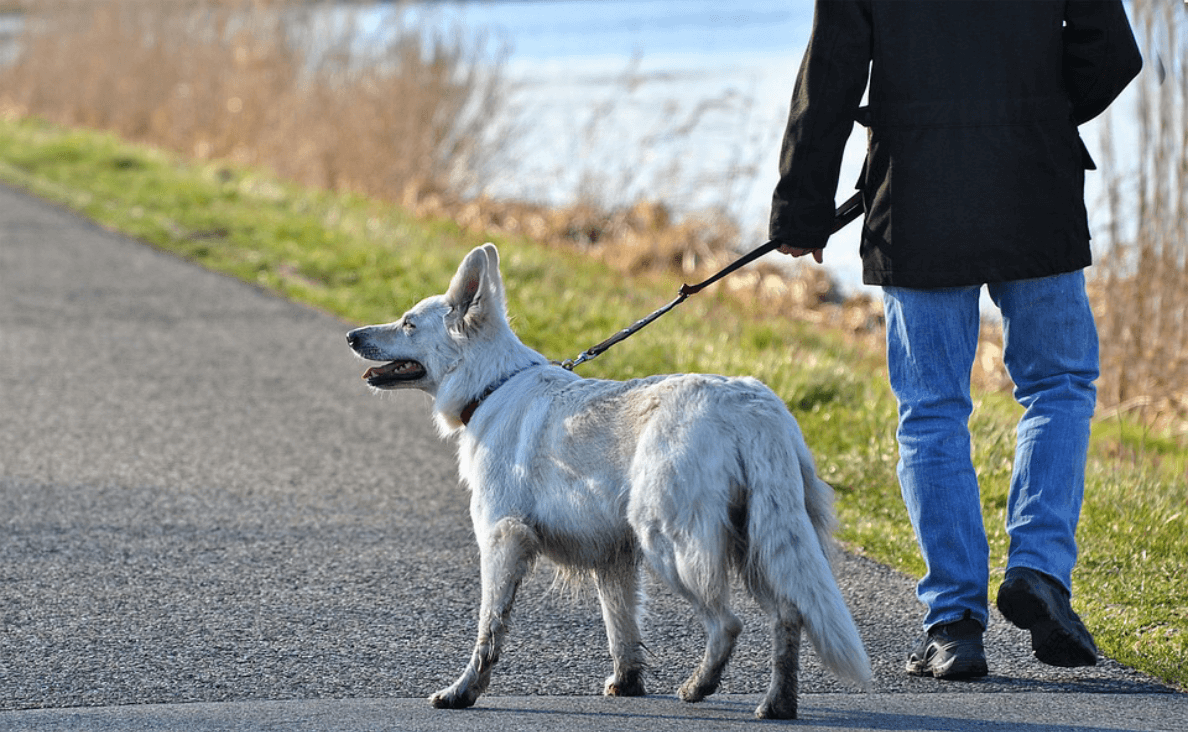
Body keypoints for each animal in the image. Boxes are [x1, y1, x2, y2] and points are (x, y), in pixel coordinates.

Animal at [346, 243, 874, 717]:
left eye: (408, 323)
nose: (351, 335)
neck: (491, 385)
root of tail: (753, 406)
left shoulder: (502, 540)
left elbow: (489, 629)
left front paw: (463, 692)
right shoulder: (613, 558)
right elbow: (622, 629)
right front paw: (628, 683)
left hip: (671, 544)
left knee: (728, 623)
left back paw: (699, 687)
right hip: (759, 543)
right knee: (788, 616)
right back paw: (777, 704)